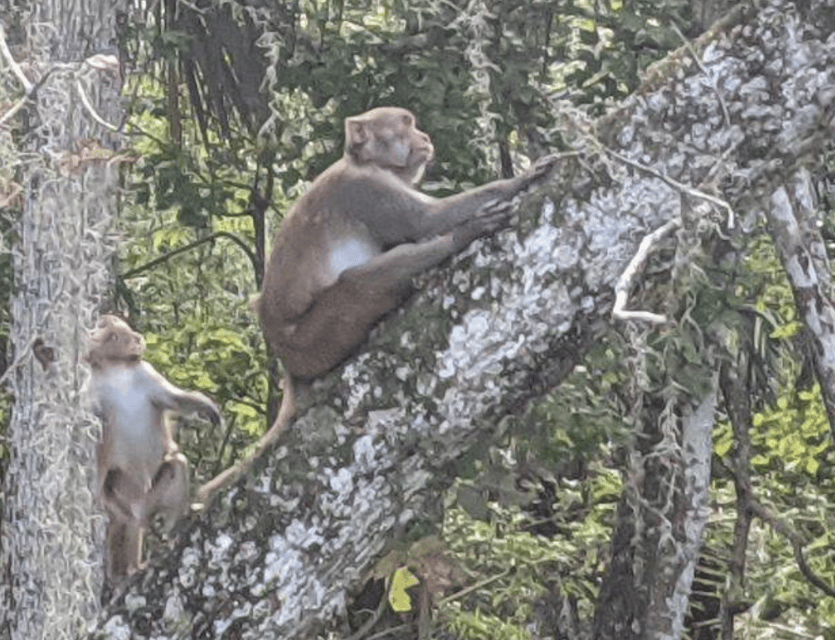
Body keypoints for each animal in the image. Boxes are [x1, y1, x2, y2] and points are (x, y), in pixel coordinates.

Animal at [87, 316, 222, 580]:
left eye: (107, 328)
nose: (92, 330)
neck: (115, 370)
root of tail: (139, 508)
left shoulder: (145, 373)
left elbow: (174, 399)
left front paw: (207, 407)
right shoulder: (93, 391)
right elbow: (98, 441)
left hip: (151, 499)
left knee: (176, 465)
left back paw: (171, 533)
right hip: (124, 501)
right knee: (120, 502)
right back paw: (128, 570)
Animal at [199, 106, 560, 504]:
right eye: (406, 124)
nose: (425, 138)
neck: (366, 163)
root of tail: (286, 362)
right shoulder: (365, 190)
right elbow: (425, 222)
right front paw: (520, 179)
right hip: (313, 338)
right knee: (356, 283)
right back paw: (455, 240)